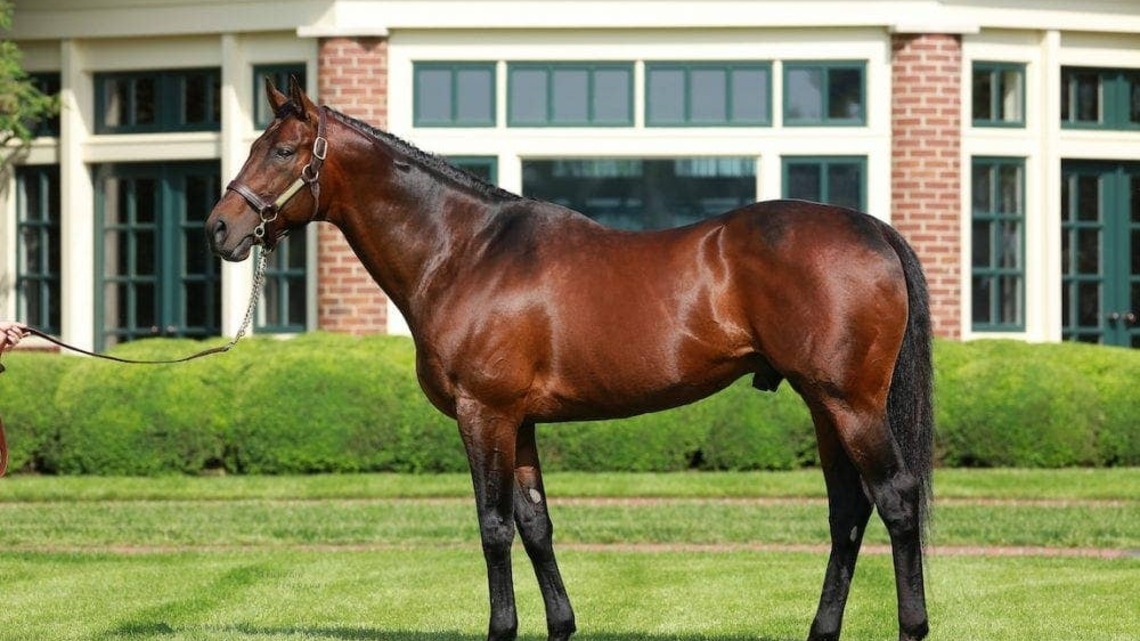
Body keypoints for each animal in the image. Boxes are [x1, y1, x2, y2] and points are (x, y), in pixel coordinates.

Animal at [207, 77, 934, 641]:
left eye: (282, 149)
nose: (219, 228)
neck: (466, 252)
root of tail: (874, 229)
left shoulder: (484, 414)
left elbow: (494, 525)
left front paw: (501, 627)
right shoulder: (521, 421)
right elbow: (536, 524)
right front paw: (560, 624)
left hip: (851, 404)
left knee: (895, 500)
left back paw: (911, 625)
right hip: (824, 406)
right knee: (847, 511)